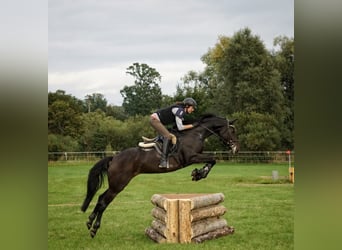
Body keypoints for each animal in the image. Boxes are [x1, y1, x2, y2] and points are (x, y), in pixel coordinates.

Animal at [80, 114, 240, 237]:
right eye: (232, 131)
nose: (236, 149)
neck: (196, 134)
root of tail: (114, 158)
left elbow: (212, 160)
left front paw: (198, 173)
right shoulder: (191, 157)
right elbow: (213, 159)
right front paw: (199, 174)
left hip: (116, 184)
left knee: (100, 198)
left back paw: (89, 221)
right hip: (118, 184)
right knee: (104, 202)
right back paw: (94, 228)